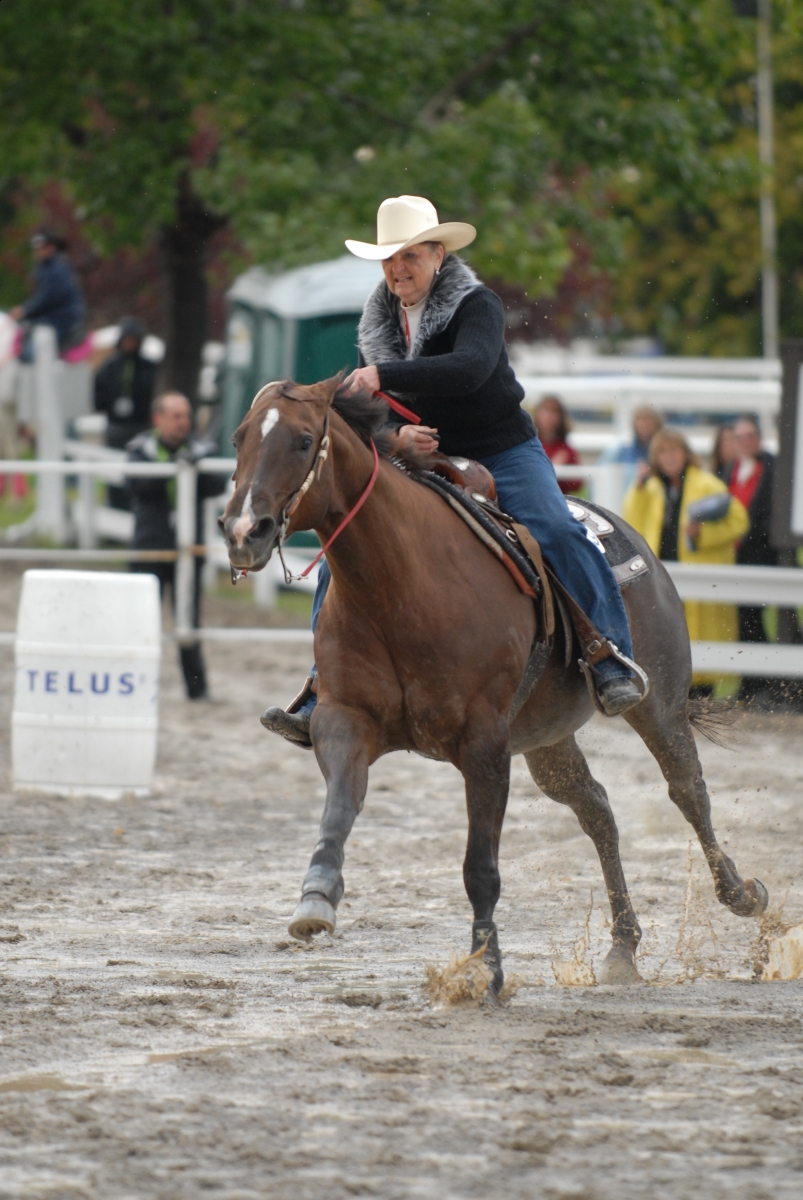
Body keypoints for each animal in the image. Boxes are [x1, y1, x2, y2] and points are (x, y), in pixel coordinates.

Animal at [219, 374, 768, 992]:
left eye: (302, 439)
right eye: (238, 438)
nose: (242, 531)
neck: (400, 583)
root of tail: (631, 535)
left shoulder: (484, 743)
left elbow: (481, 865)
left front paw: (485, 968)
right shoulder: (344, 722)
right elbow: (339, 808)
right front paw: (315, 898)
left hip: (660, 706)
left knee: (687, 791)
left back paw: (745, 899)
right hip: (547, 738)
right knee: (597, 810)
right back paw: (623, 945)